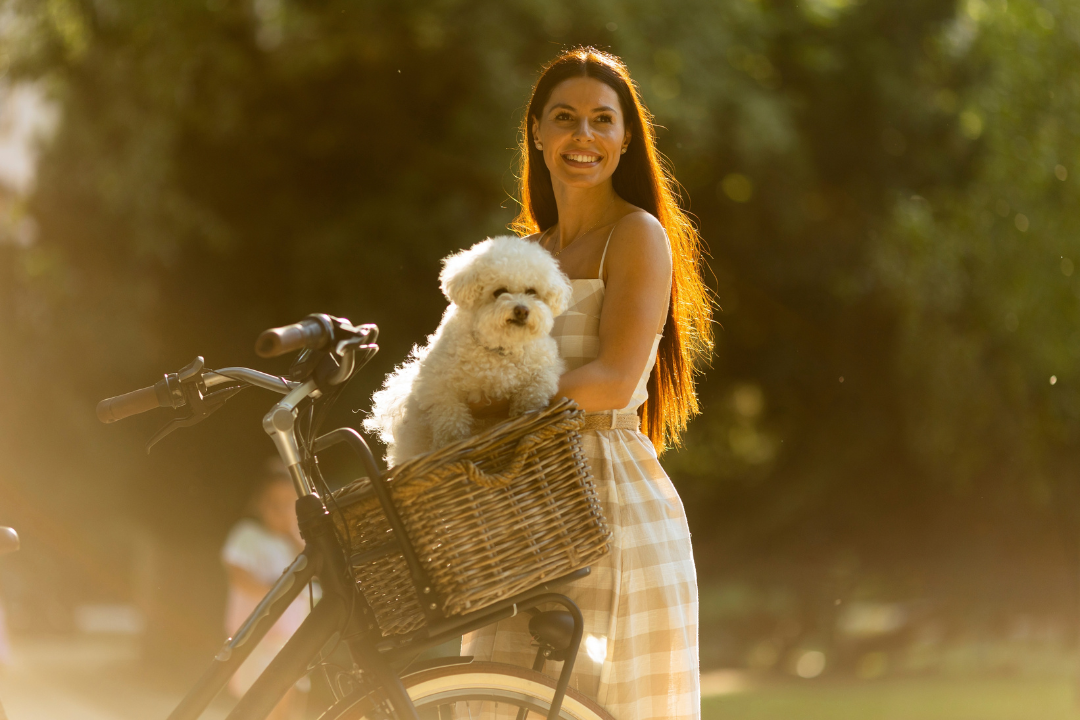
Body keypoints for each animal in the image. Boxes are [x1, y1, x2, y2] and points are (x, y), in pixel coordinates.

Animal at [365, 234, 574, 464]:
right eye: (499, 292)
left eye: (531, 292)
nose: (522, 310)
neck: (498, 349)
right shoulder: (440, 387)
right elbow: (450, 419)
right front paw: (452, 444)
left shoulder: (545, 369)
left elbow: (535, 390)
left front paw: (525, 413)